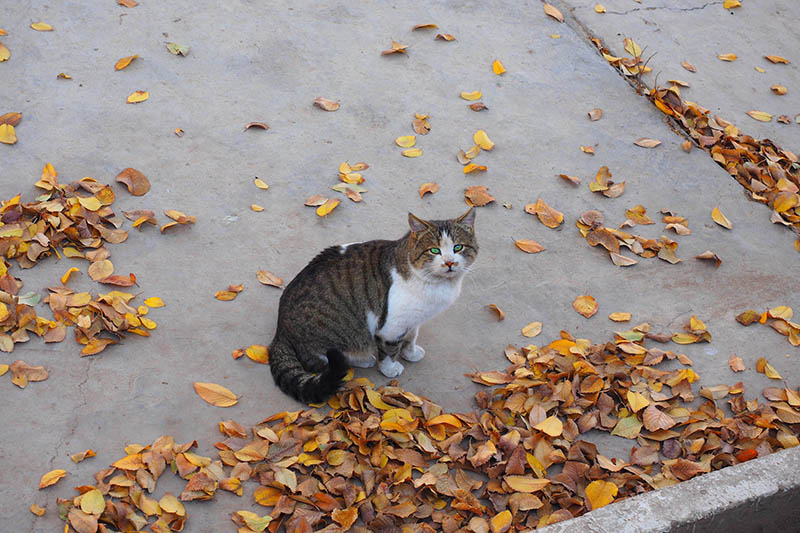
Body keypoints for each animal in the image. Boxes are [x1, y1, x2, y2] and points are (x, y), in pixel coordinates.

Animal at [272, 209, 478, 404]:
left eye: (458, 247)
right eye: (434, 250)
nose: (450, 262)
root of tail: (280, 329)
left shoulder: (414, 319)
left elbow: (411, 337)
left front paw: (410, 353)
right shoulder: (391, 328)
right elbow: (389, 351)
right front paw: (390, 368)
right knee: (321, 361)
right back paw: (362, 359)